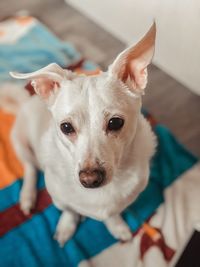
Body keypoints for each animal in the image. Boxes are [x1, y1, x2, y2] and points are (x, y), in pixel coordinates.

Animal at [8, 23, 156, 247]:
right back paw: (27, 196)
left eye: (115, 122)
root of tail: (26, 100)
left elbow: (113, 214)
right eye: (66, 127)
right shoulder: (59, 199)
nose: (89, 179)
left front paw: (117, 226)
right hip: (20, 143)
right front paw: (67, 226)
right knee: (30, 168)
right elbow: (69, 210)